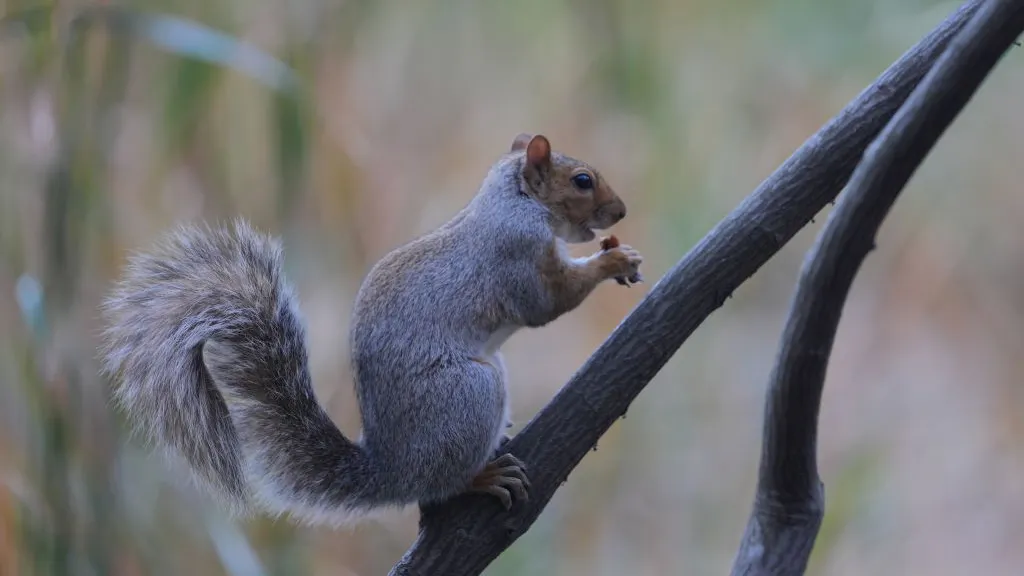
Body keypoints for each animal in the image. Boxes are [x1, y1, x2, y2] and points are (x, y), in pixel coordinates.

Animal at [99, 133, 643, 526]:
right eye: (582, 180)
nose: (621, 211)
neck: (511, 201)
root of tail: (392, 470)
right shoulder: (518, 256)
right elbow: (548, 303)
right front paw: (612, 260)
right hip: (471, 390)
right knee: (440, 484)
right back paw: (482, 476)